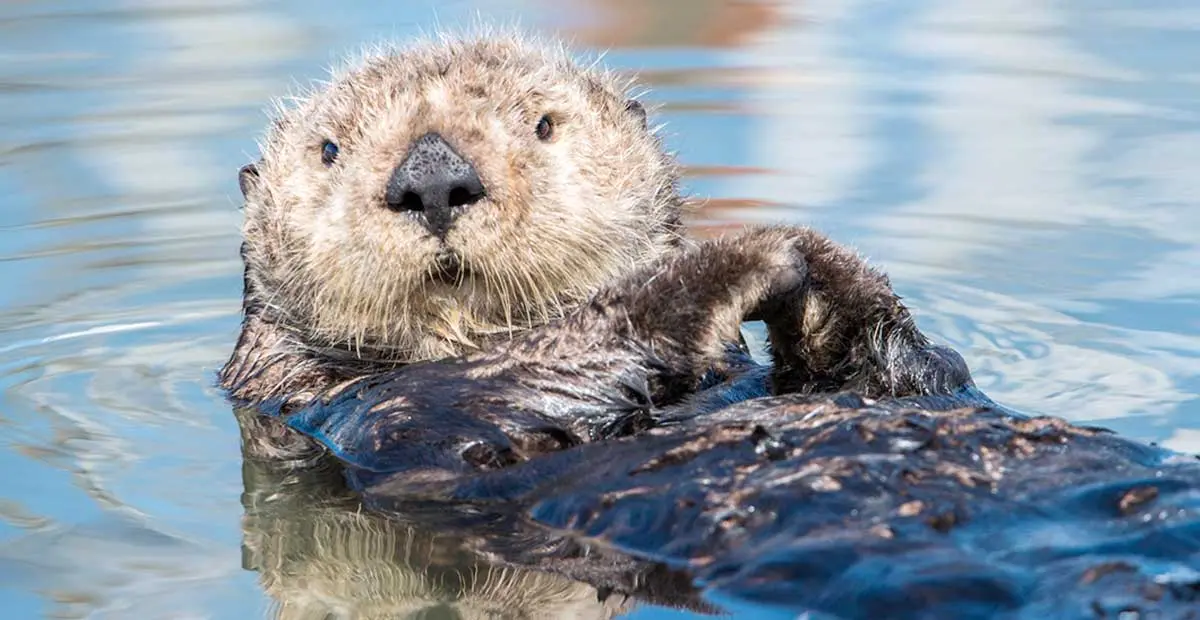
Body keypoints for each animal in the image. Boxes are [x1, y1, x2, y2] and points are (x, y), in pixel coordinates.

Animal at [226, 30, 1200, 618]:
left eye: (543, 125)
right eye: (329, 150)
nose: (432, 179)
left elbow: (914, 375)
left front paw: (828, 275)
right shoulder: (383, 417)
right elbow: (524, 383)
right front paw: (756, 256)